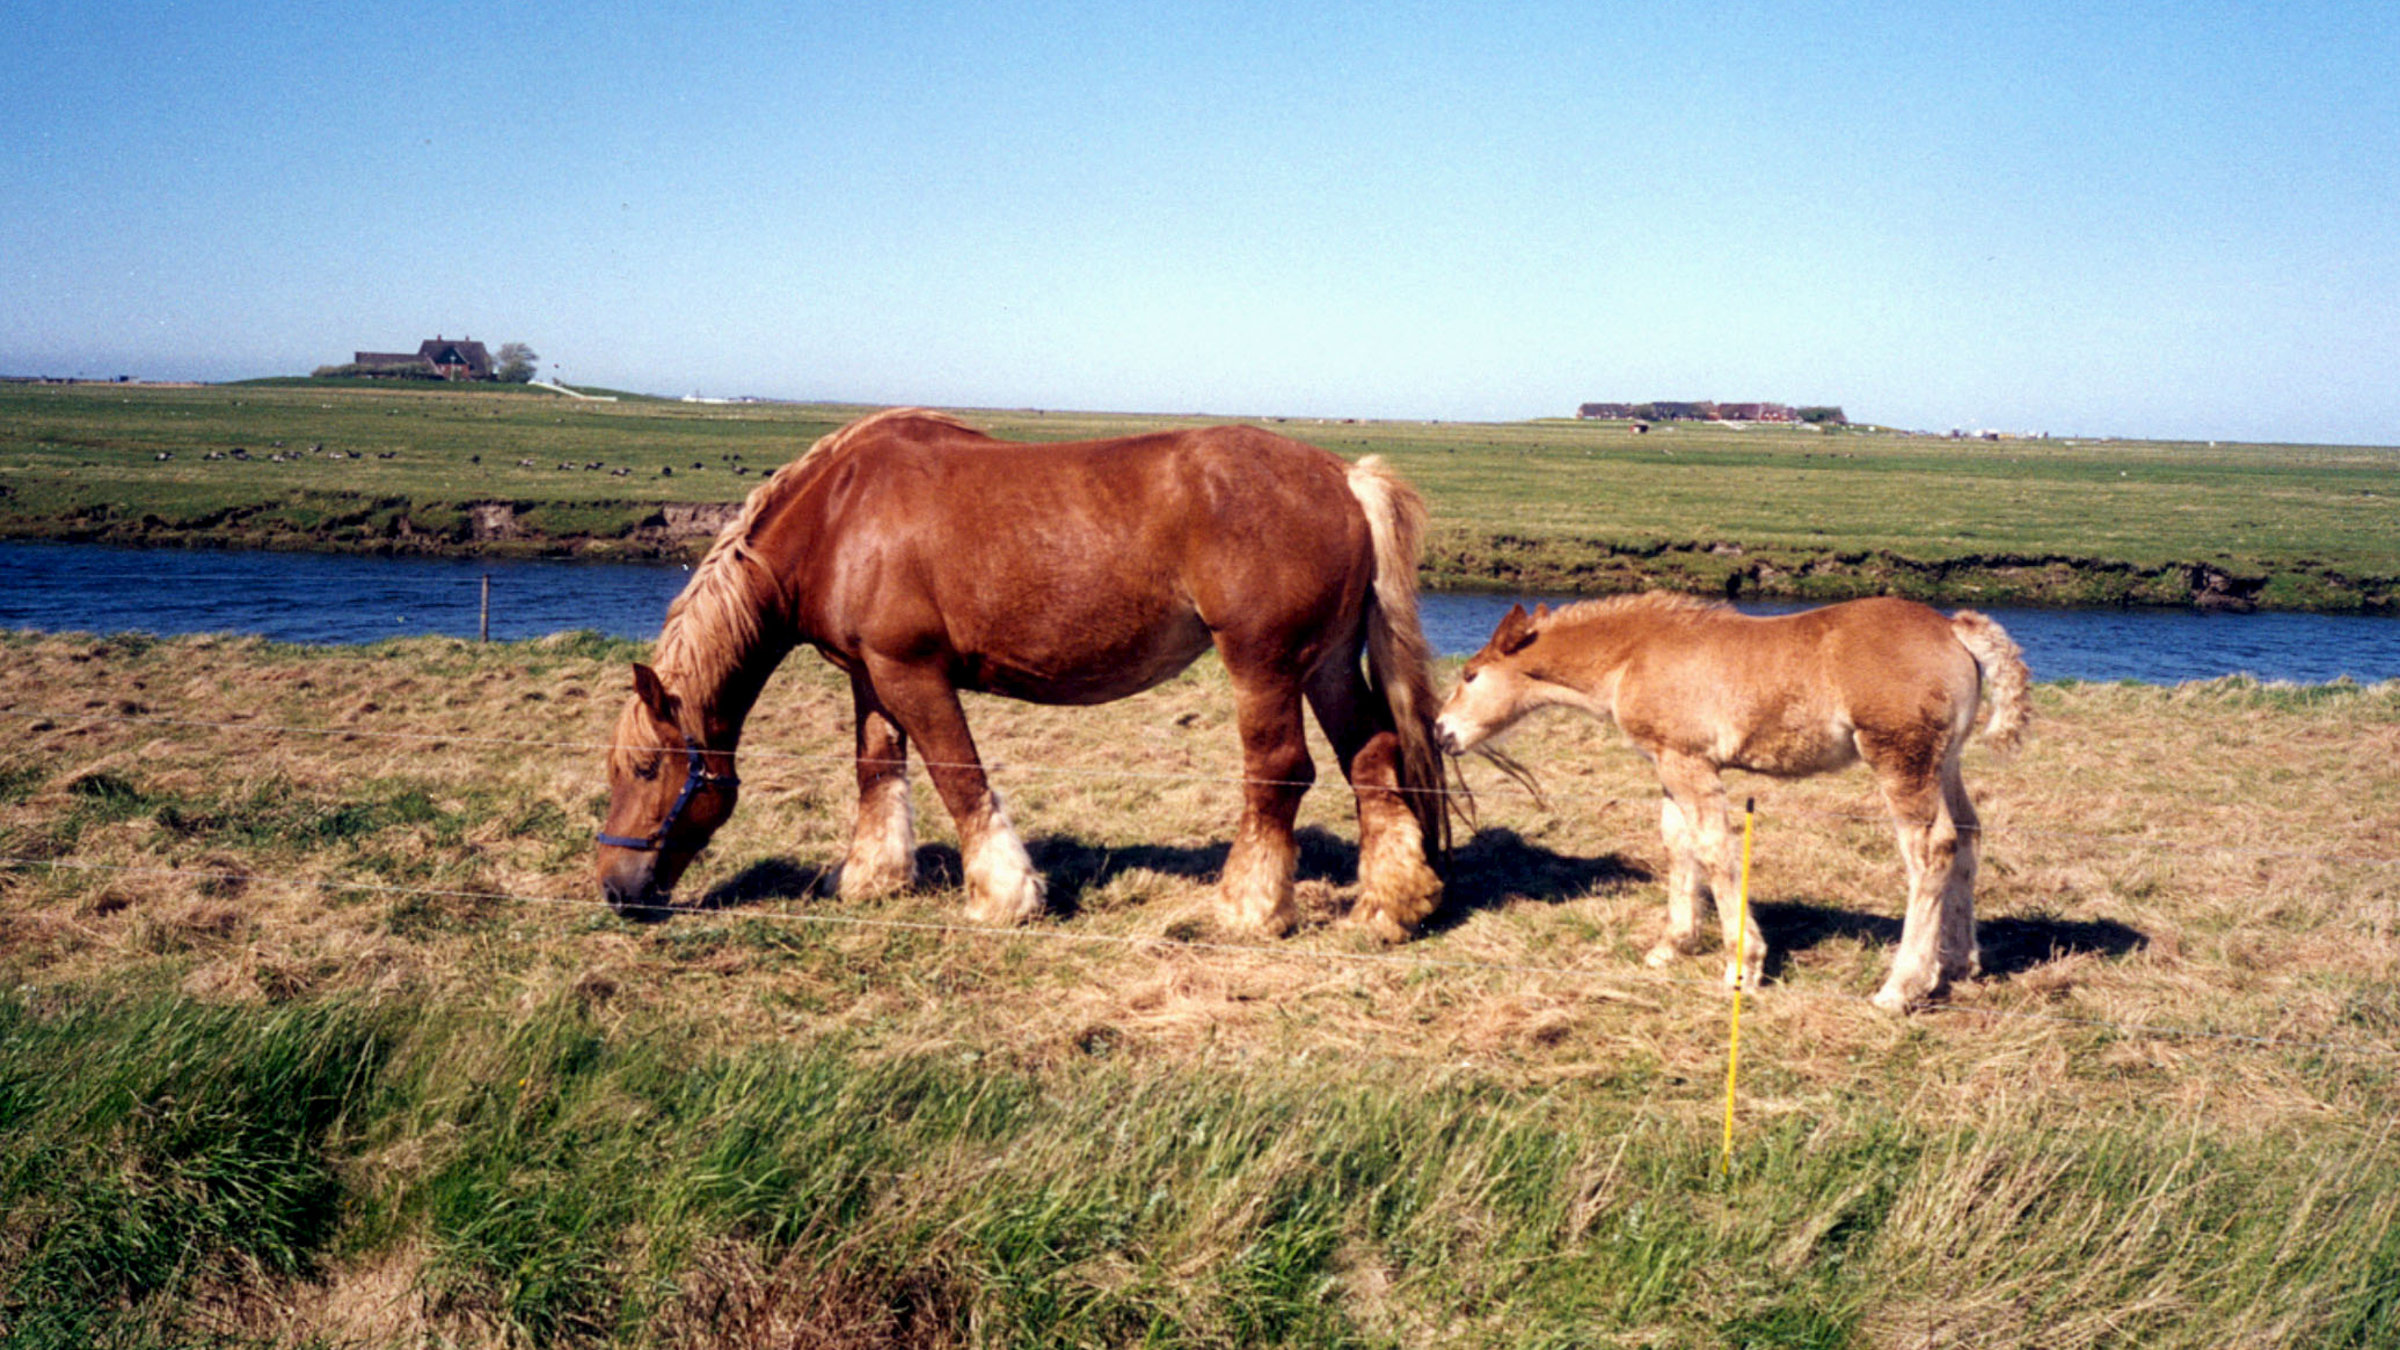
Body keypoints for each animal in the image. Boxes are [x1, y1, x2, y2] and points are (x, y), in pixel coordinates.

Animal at [596, 408, 1450, 942]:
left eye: (643, 768)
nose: (611, 886)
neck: (838, 516)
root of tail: (1343, 477)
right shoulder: (870, 677)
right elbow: (878, 771)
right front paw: (873, 879)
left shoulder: (912, 673)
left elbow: (958, 776)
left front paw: (1003, 897)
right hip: (1327, 663)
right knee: (1372, 757)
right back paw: (1391, 905)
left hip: (1264, 665)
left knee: (1280, 772)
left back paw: (1249, 908)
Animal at [1433, 593, 2030, 1011]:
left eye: (1470, 675)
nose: (1441, 731)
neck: (1633, 655)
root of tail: (1952, 628)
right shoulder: (1668, 763)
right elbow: (1678, 845)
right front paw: (1673, 945)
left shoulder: (1691, 765)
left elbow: (1714, 851)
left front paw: (1743, 964)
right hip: (1944, 763)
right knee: (1968, 838)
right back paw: (1957, 965)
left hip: (1900, 760)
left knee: (1930, 851)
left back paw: (1900, 988)